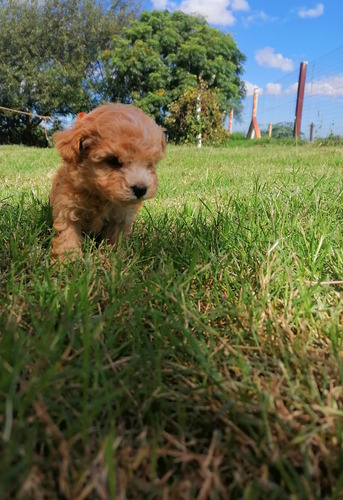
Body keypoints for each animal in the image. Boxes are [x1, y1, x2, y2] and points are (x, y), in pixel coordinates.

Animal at [50, 103, 167, 260]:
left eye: (150, 164)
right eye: (113, 161)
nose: (140, 189)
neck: (100, 195)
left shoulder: (121, 216)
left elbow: (115, 240)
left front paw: (112, 260)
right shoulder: (67, 208)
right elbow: (67, 237)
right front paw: (68, 261)